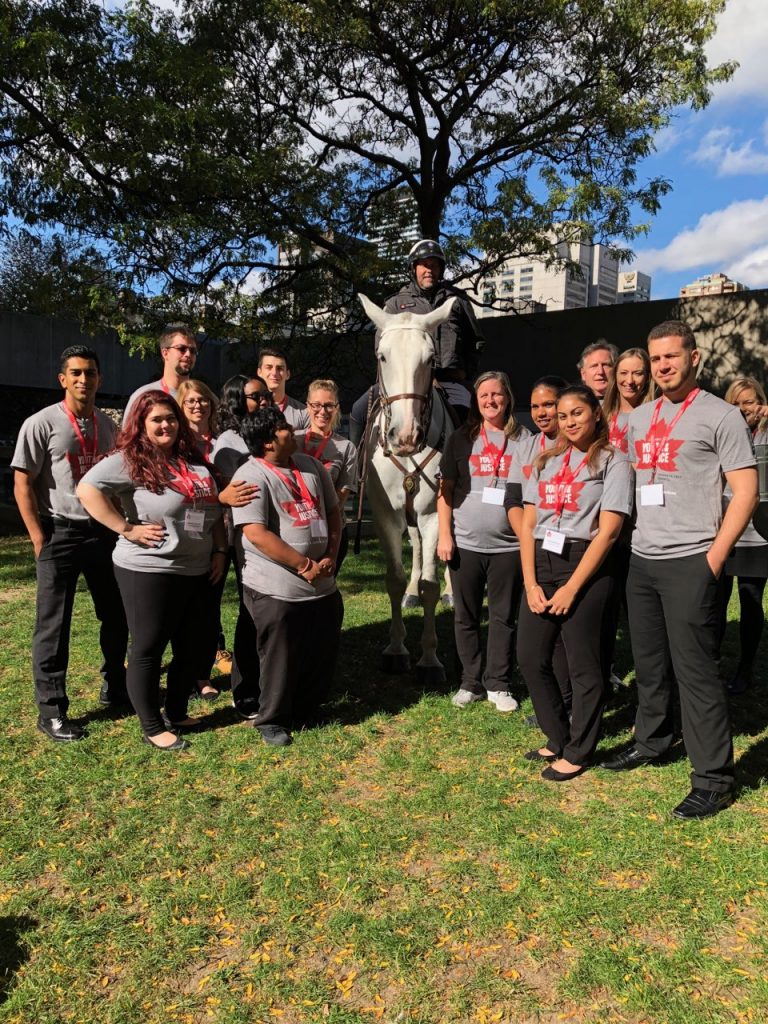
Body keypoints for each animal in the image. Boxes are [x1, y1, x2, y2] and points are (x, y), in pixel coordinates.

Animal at [356, 292, 454, 684]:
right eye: (382, 356)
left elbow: (431, 584)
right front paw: (396, 650)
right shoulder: (386, 515)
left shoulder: (432, 515)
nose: (406, 435)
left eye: (429, 359)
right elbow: (395, 579)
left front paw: (429, 658)